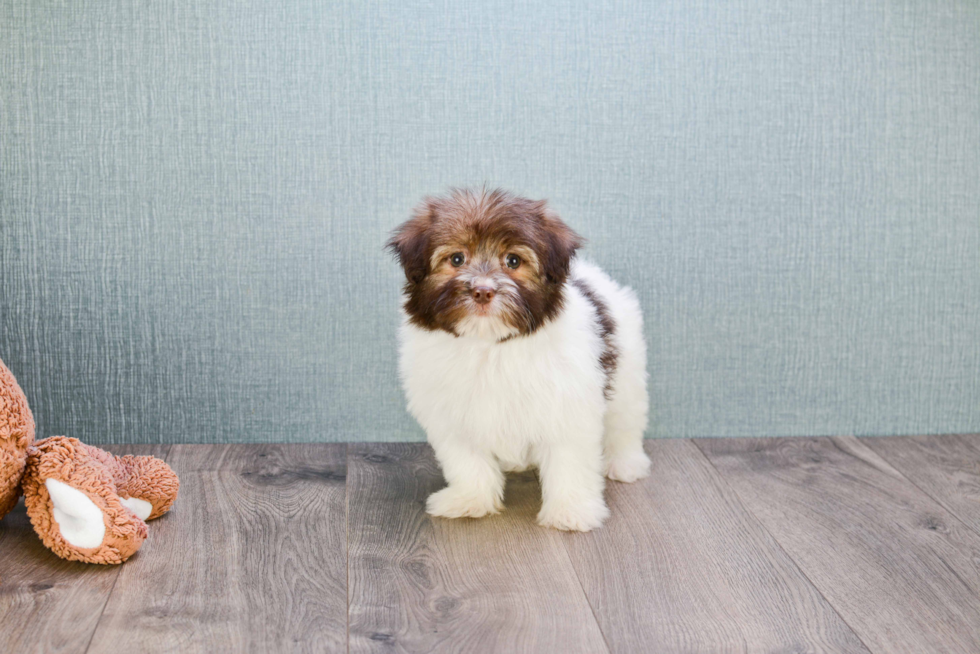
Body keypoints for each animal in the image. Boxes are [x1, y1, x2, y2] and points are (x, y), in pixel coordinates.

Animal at [388, 187, 652, 532]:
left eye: (513, 260)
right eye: (457, 258)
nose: (483, 291)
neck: (490, 346)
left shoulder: (568, 407)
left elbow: (570, 461)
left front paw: (571, 511)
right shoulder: (454, 415)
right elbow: (467, 461)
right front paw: (469, 499)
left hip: (627, 373)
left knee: (625, 422)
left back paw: (625, 463)